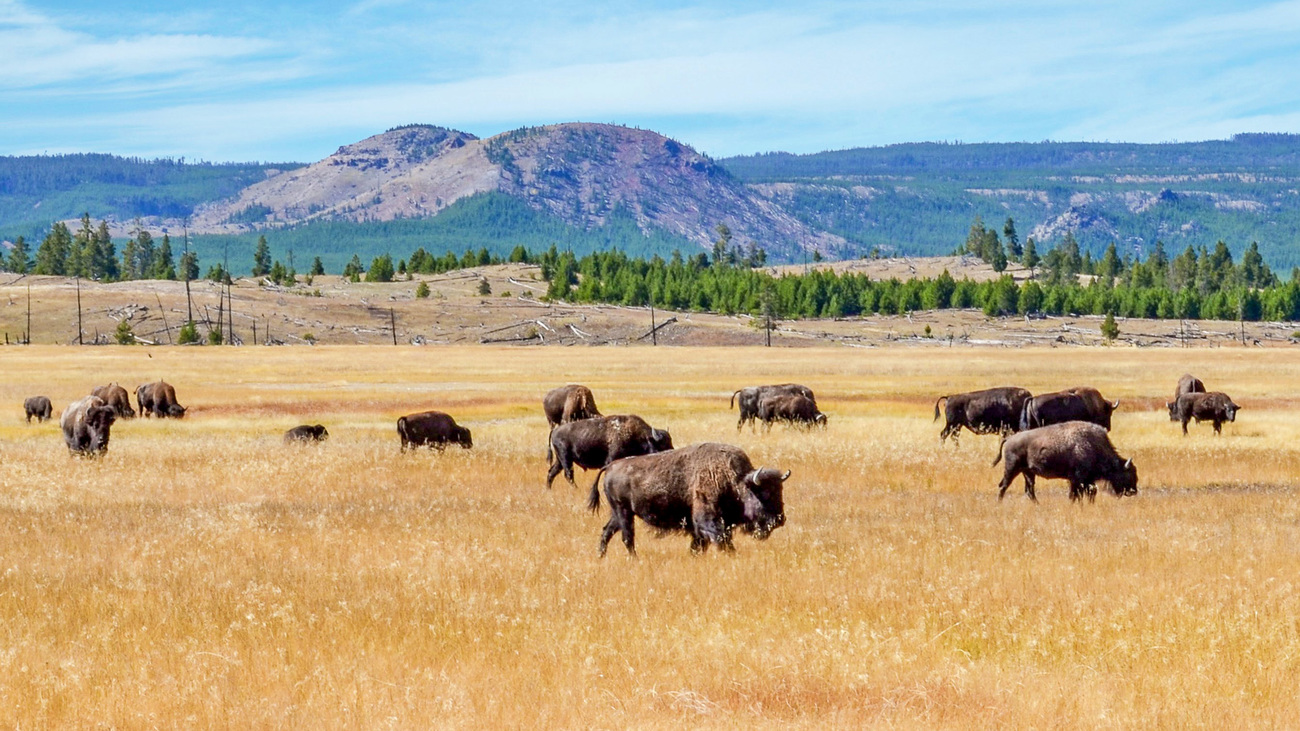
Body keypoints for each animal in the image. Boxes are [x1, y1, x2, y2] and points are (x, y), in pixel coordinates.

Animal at [546, 413, 676, 486]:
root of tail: (556, 430)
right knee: (568, 475)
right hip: (565, 458)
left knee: (552, 472)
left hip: (560, 460)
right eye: (662, 445)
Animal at [587, 442, 785, 554]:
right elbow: (720, 540)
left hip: (619, 513)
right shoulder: (707, 520)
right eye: (764, 494)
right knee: (627, 537)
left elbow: (699, 545)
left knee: (607, 531)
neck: (735, 480)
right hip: (624, 512)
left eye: (780, 492)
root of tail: (611, 466)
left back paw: (601, 556)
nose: (780, 520)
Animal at [993, 421, 1138, 499]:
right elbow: (1074, 495)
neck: (1093, 445)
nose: (1133, 491)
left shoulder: (1086, 480)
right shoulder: (1076, 479)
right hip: (1012, 469)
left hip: (1028, 472)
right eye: (1128, 474)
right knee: (1003, 486)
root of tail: (1009, 439)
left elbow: (1089, 493)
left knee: (1029, 490)